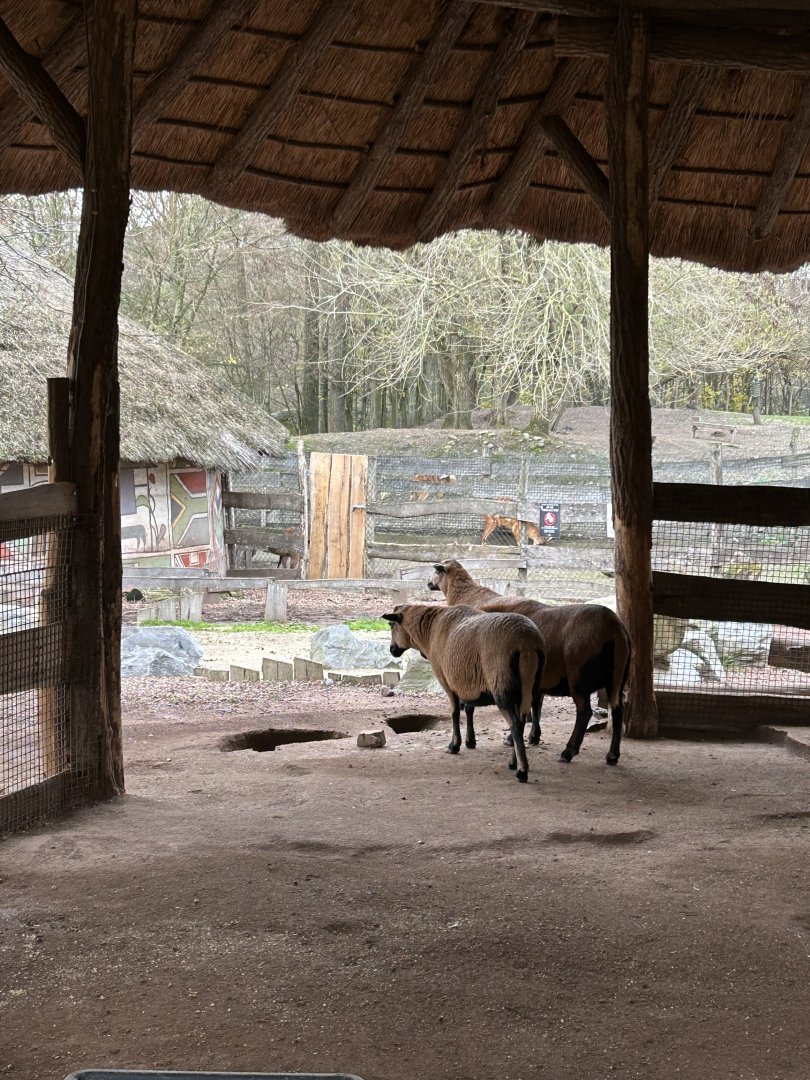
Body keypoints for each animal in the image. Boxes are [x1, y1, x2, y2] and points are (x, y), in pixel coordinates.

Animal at [382, 603, 545, 783]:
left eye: (392, 625)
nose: (392, 650)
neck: (429, 631)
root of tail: (526, 642)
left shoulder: (447, 682)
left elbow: (454, 713)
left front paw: (454, 745)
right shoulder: (467, 683)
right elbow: (468, 709)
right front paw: (470, 741)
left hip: (502, 685)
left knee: (515, 724)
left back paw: (522, 771)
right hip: (529, 686)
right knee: (522, 720)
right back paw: (513, 762)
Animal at [427, 560, 629, 766]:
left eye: (436, 571)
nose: (428, 584)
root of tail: (614, 627)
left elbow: (476, 707)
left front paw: (474, 741)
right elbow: (534, 705)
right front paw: (533, 736)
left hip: (579, 679)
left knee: (584, 713)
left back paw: (568, 751)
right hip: (617, 678)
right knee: (618, 709)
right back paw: (612, 755)